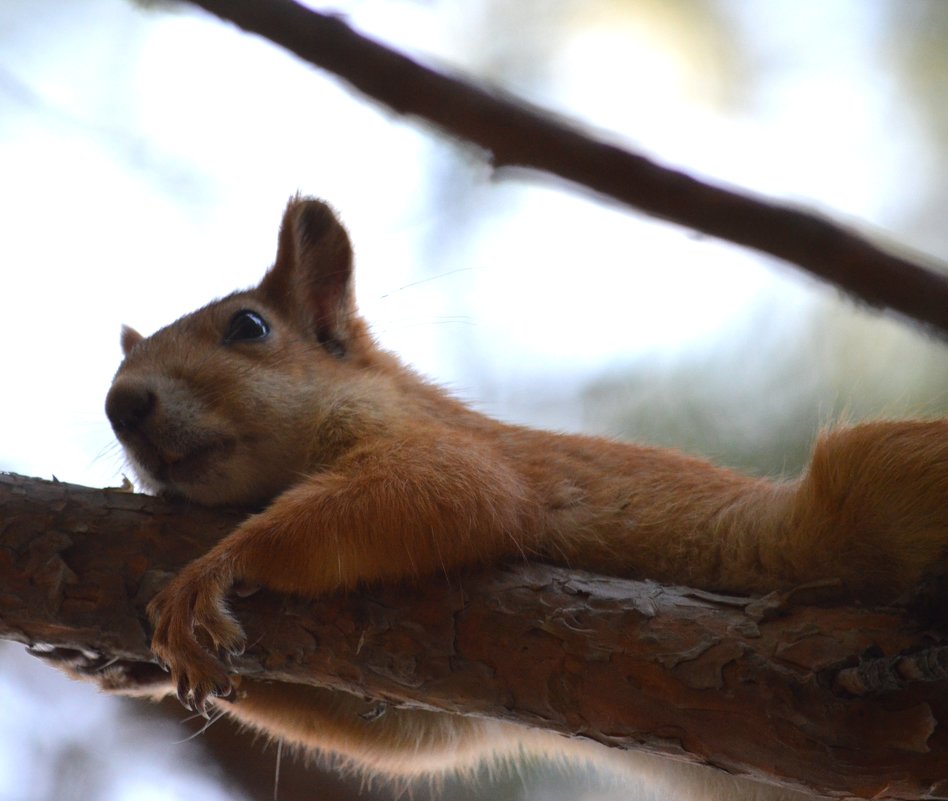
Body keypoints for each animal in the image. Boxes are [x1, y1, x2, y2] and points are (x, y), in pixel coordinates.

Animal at [85, 195, 944, 800]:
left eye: (250, 326)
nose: (122, 403)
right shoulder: (449, 696)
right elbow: (403, 730)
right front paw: (135, 665)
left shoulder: (466, 453)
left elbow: (453, 493)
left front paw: (217, 565)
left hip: (874, 473)